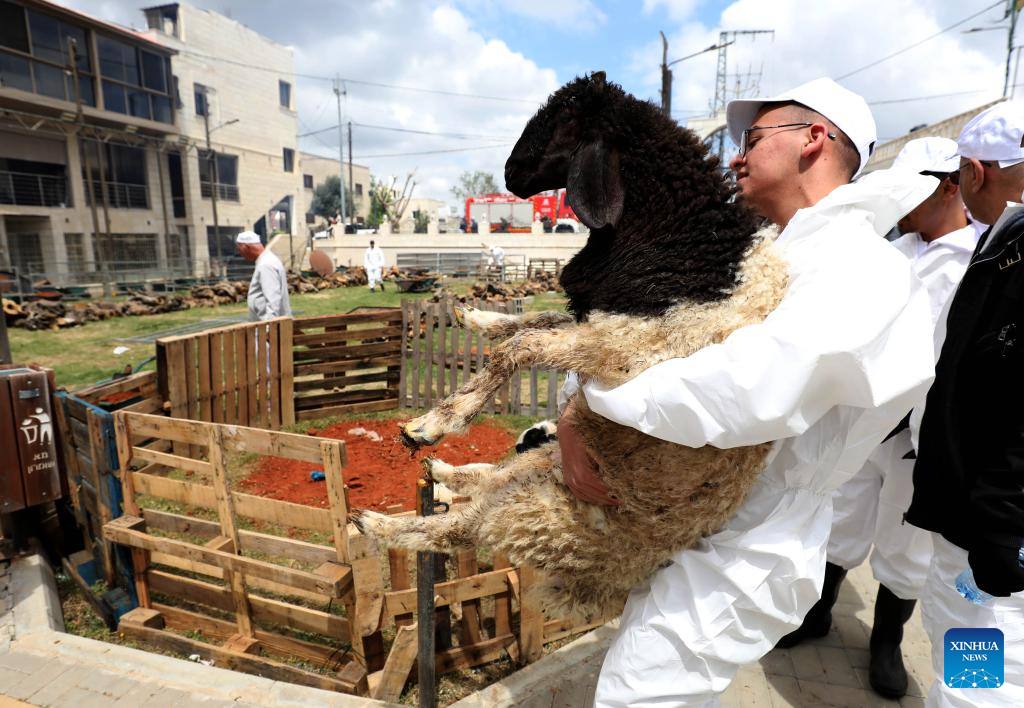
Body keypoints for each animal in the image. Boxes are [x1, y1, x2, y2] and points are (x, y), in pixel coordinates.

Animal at [353, 72, 790, 622]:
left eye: (565, 119)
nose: (510, 172)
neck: (703, 257)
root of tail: (612, 583)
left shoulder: (628, 352)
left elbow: (523, 347)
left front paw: (434, 423)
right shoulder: (601, 319)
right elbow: (537, 320)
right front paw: (478, 317)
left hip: (544, 515)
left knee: (459, 530)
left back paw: (379, 521)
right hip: (541, 469)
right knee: (488, 481)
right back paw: (445, 473)